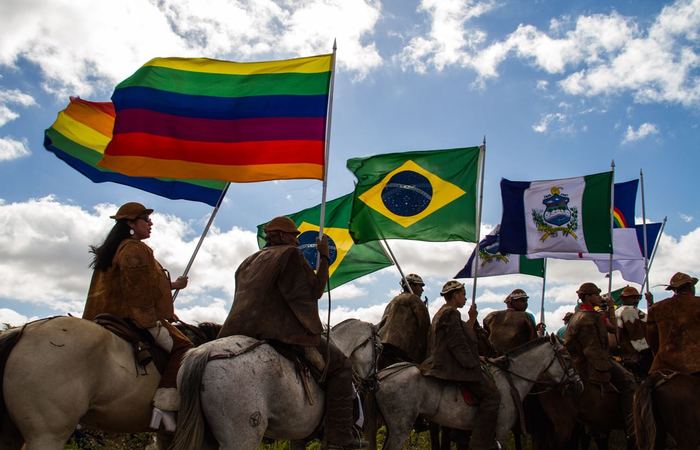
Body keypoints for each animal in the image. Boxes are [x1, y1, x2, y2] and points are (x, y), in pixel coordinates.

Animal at [374, 334, 584, 450]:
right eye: (566, 357)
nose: (579, 385)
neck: (510, 379)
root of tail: (382, 375)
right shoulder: (500, 430)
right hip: (400, 428)